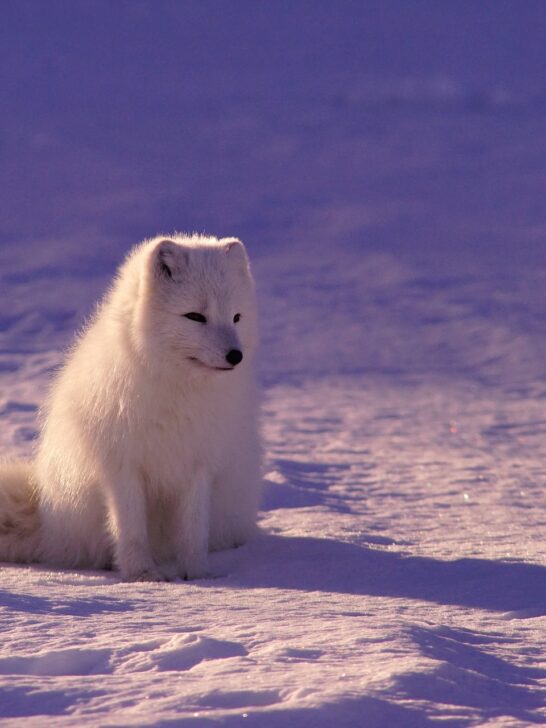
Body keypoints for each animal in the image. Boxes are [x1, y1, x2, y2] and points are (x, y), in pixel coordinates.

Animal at [0, 234, 262, 581]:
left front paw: (197, 574)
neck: (177, 391)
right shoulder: (122, 465)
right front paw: (142, 575)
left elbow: (193, 531)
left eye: (236, 317)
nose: (236, 356)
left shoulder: (198, 465)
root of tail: (48, 526)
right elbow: (131, 528)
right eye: (195, 316)